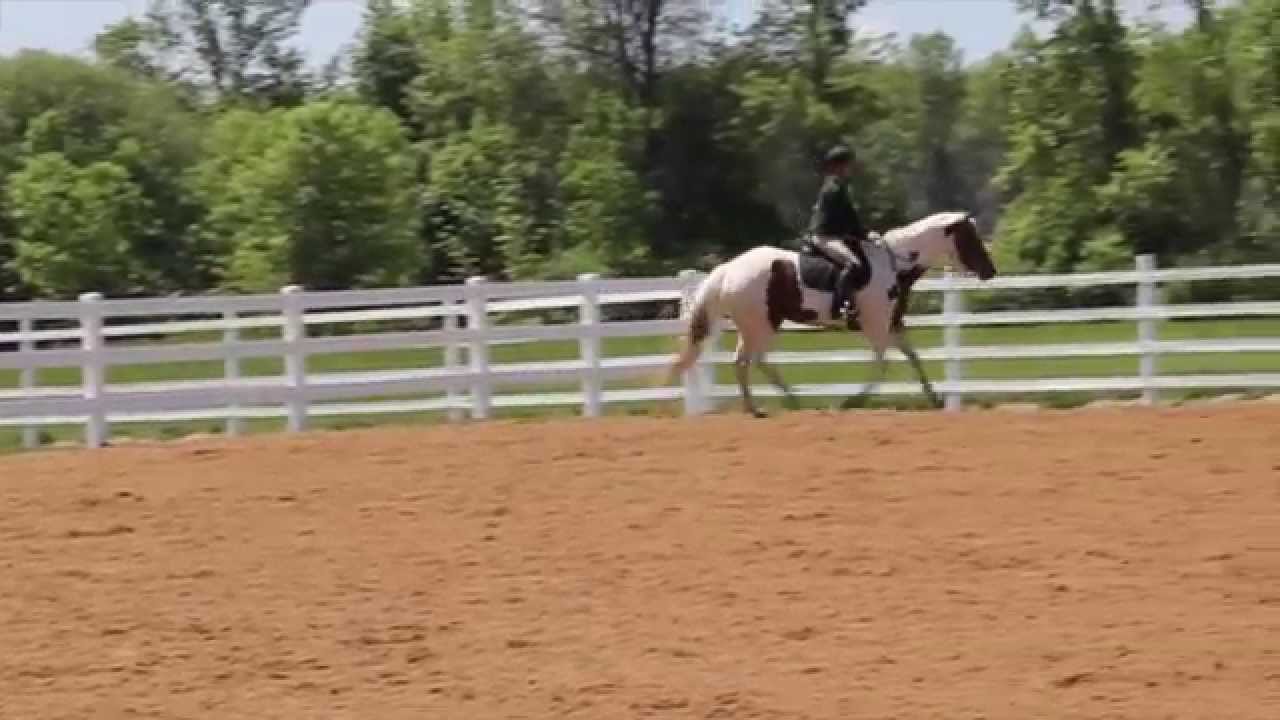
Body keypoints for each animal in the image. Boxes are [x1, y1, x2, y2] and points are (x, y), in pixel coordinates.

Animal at [667, 211, 998, 418]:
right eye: (970, 238)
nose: (990, 272)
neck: (894, 265)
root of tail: (728, 269)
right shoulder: (877, 327)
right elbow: (883, 364)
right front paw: (851, 401)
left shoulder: (893, 325)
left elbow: (913, 358)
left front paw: (935, 398)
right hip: (761, 324)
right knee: (750, 361)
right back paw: (776, 404)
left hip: (757, 325)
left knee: (748, 362)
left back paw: (774, 404)